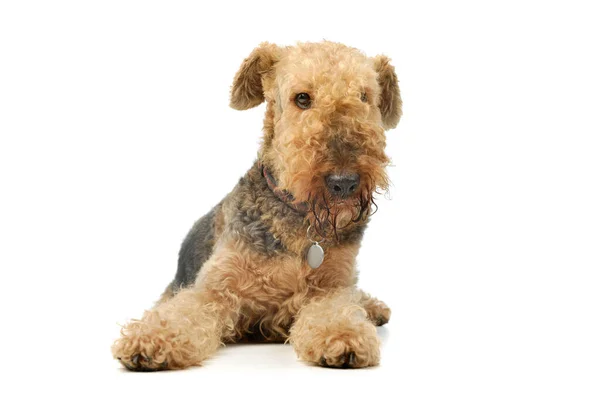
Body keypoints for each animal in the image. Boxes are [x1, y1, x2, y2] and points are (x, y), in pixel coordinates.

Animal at [112, 41, 404, 372]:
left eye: (364, 96)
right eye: (302, 98)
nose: (344, 182)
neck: (301, 225)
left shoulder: (334, 287)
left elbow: (337, 309)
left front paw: (343, 337)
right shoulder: (214, 287)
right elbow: (183, 311)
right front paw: (149, 340)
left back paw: (374, 307)